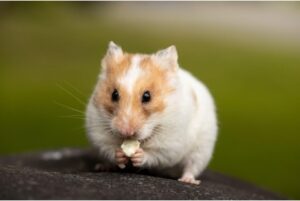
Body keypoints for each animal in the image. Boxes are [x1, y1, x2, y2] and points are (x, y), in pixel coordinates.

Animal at [86, 41, 218, 185]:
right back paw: (102, 166)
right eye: (114, 94)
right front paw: (120, 154)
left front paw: (139, 155)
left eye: (147, 96)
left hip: (201, 150)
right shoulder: (99, 133)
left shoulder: (170, 144)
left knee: (191, 167)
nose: (126, 132)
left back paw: (187, 180)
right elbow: (109, 148)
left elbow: (154, 155)